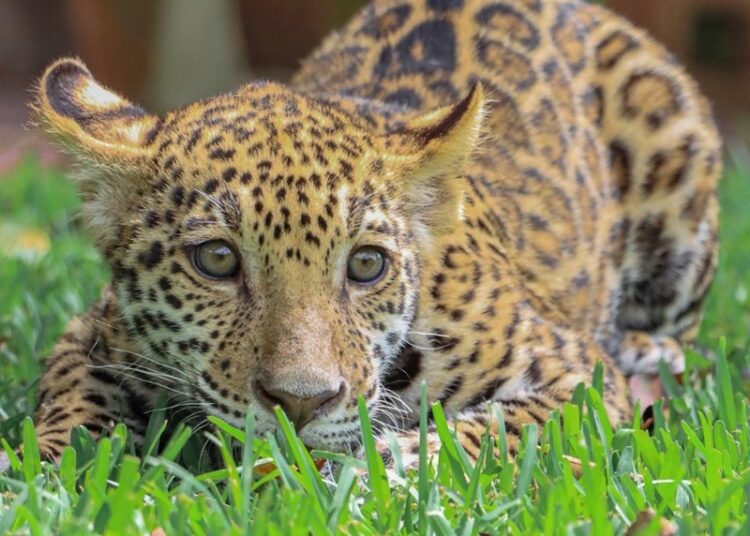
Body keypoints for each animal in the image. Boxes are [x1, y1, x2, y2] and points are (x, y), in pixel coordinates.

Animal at [17, 0, 721, 470]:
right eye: (216, 259)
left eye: (365, 266)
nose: (301, 403)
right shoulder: (91, 339)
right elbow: (69, 408)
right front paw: (40, 473)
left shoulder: (576, 377)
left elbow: (483, 432)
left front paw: (377, 469)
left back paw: (652, 352)